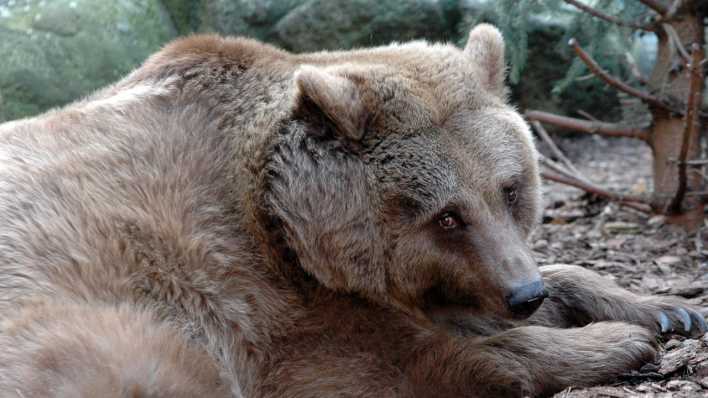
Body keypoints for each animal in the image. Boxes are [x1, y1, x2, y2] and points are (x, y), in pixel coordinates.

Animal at [0, 25, 704, 398]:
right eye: (447, 215)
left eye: (510, 189)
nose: (523, 294)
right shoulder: (254, 301)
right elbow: (406, 359)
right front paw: (615, 341)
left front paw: (666, 309)